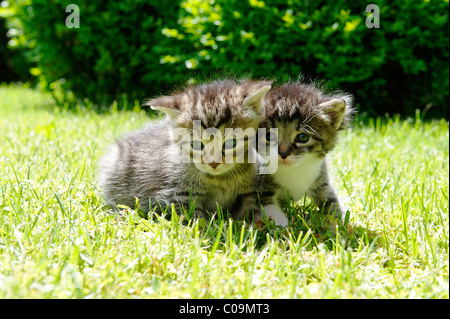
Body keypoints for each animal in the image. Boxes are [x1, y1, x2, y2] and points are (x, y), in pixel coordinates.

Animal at [98, 79, 270, 222]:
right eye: (197, 145)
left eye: (231, 143)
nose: (213, 164)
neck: (220, 179)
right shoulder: (179, 193)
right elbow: (192, 216)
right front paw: (202, 230)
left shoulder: (249, 188)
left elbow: (250, 204)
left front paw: (257, 223)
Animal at [256, 82, 356, 228]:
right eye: (269, 136)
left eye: (302, 137)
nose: (283, 153)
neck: (293, 170)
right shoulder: (258, 190)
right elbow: (270, 209)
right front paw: (284, 228)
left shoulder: (322, 180)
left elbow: (333, 202)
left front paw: (342, 223)